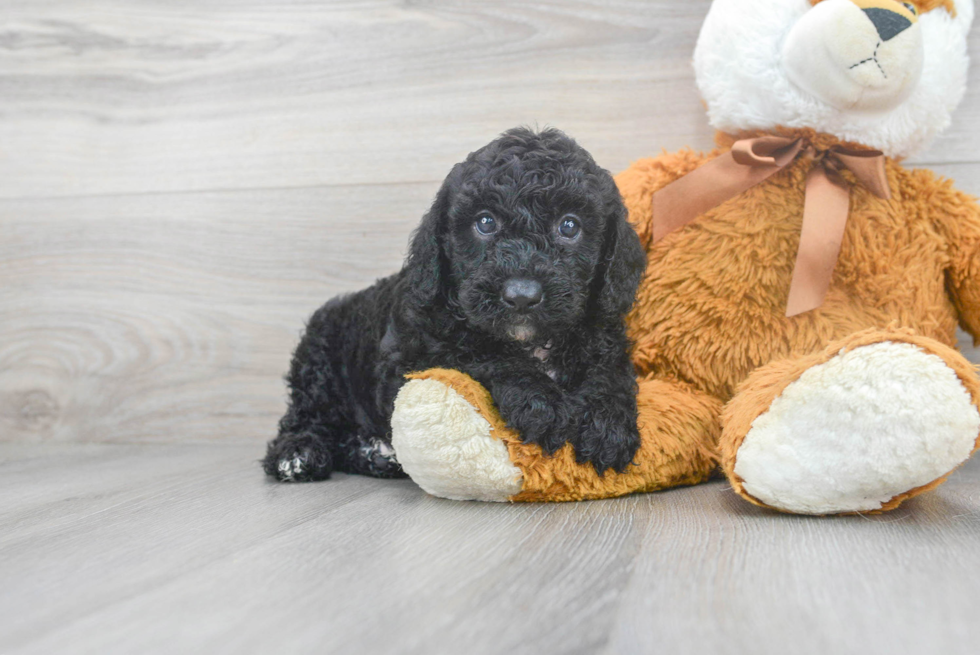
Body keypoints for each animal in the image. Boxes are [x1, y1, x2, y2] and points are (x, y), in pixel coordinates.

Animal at [262, 128, 644, 484]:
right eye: (485, 222)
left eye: (569, 226)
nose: (522, 294)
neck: (532, 343)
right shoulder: (410, 359)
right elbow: (480, 355)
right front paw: (541, 402)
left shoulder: (606, 336)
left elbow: (610, 373)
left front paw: (607, 423)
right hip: (318, 358)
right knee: (306, 416)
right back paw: (297, 454)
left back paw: (376, 453)